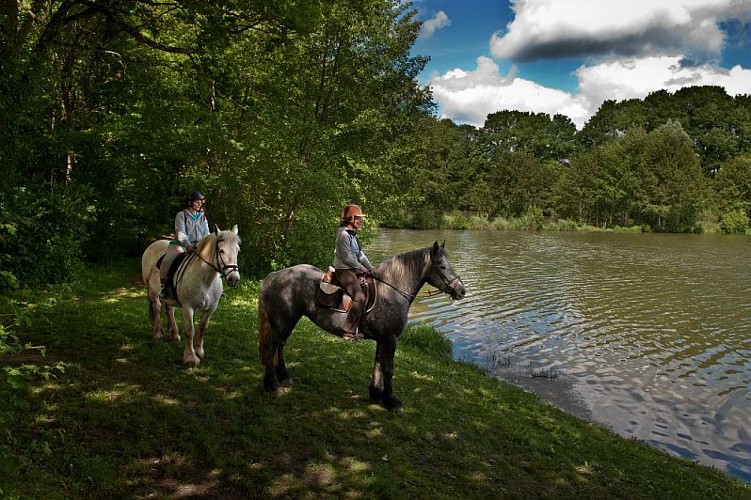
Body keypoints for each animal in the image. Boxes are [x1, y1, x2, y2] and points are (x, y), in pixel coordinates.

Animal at [141, 225, 240, 365]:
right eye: (221, 251)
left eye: (237, 250)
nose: (234, 279)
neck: (206, 279)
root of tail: (154, 243)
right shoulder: (188, 307)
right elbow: (190, 330)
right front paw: (190, 357)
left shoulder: (211, 308)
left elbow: (202, 327)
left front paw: (199, 351)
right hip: (154, 293)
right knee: (157, 309)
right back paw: (158, 333)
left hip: (168, 297)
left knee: (169, 311)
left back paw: (174, 334)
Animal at [258, 241, 466, 410]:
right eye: (442, 266)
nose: (461, 291)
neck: (391, 290)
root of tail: (274, 276)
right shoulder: (390, 339)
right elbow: (388, 369)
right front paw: (392, 401)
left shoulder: (383, 339)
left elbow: (379, 364)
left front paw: (376, 394)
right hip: (282, 322)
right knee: (272, 348)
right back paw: (273, 385)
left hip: (290, 320)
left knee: (280, 346)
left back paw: (284, 377)